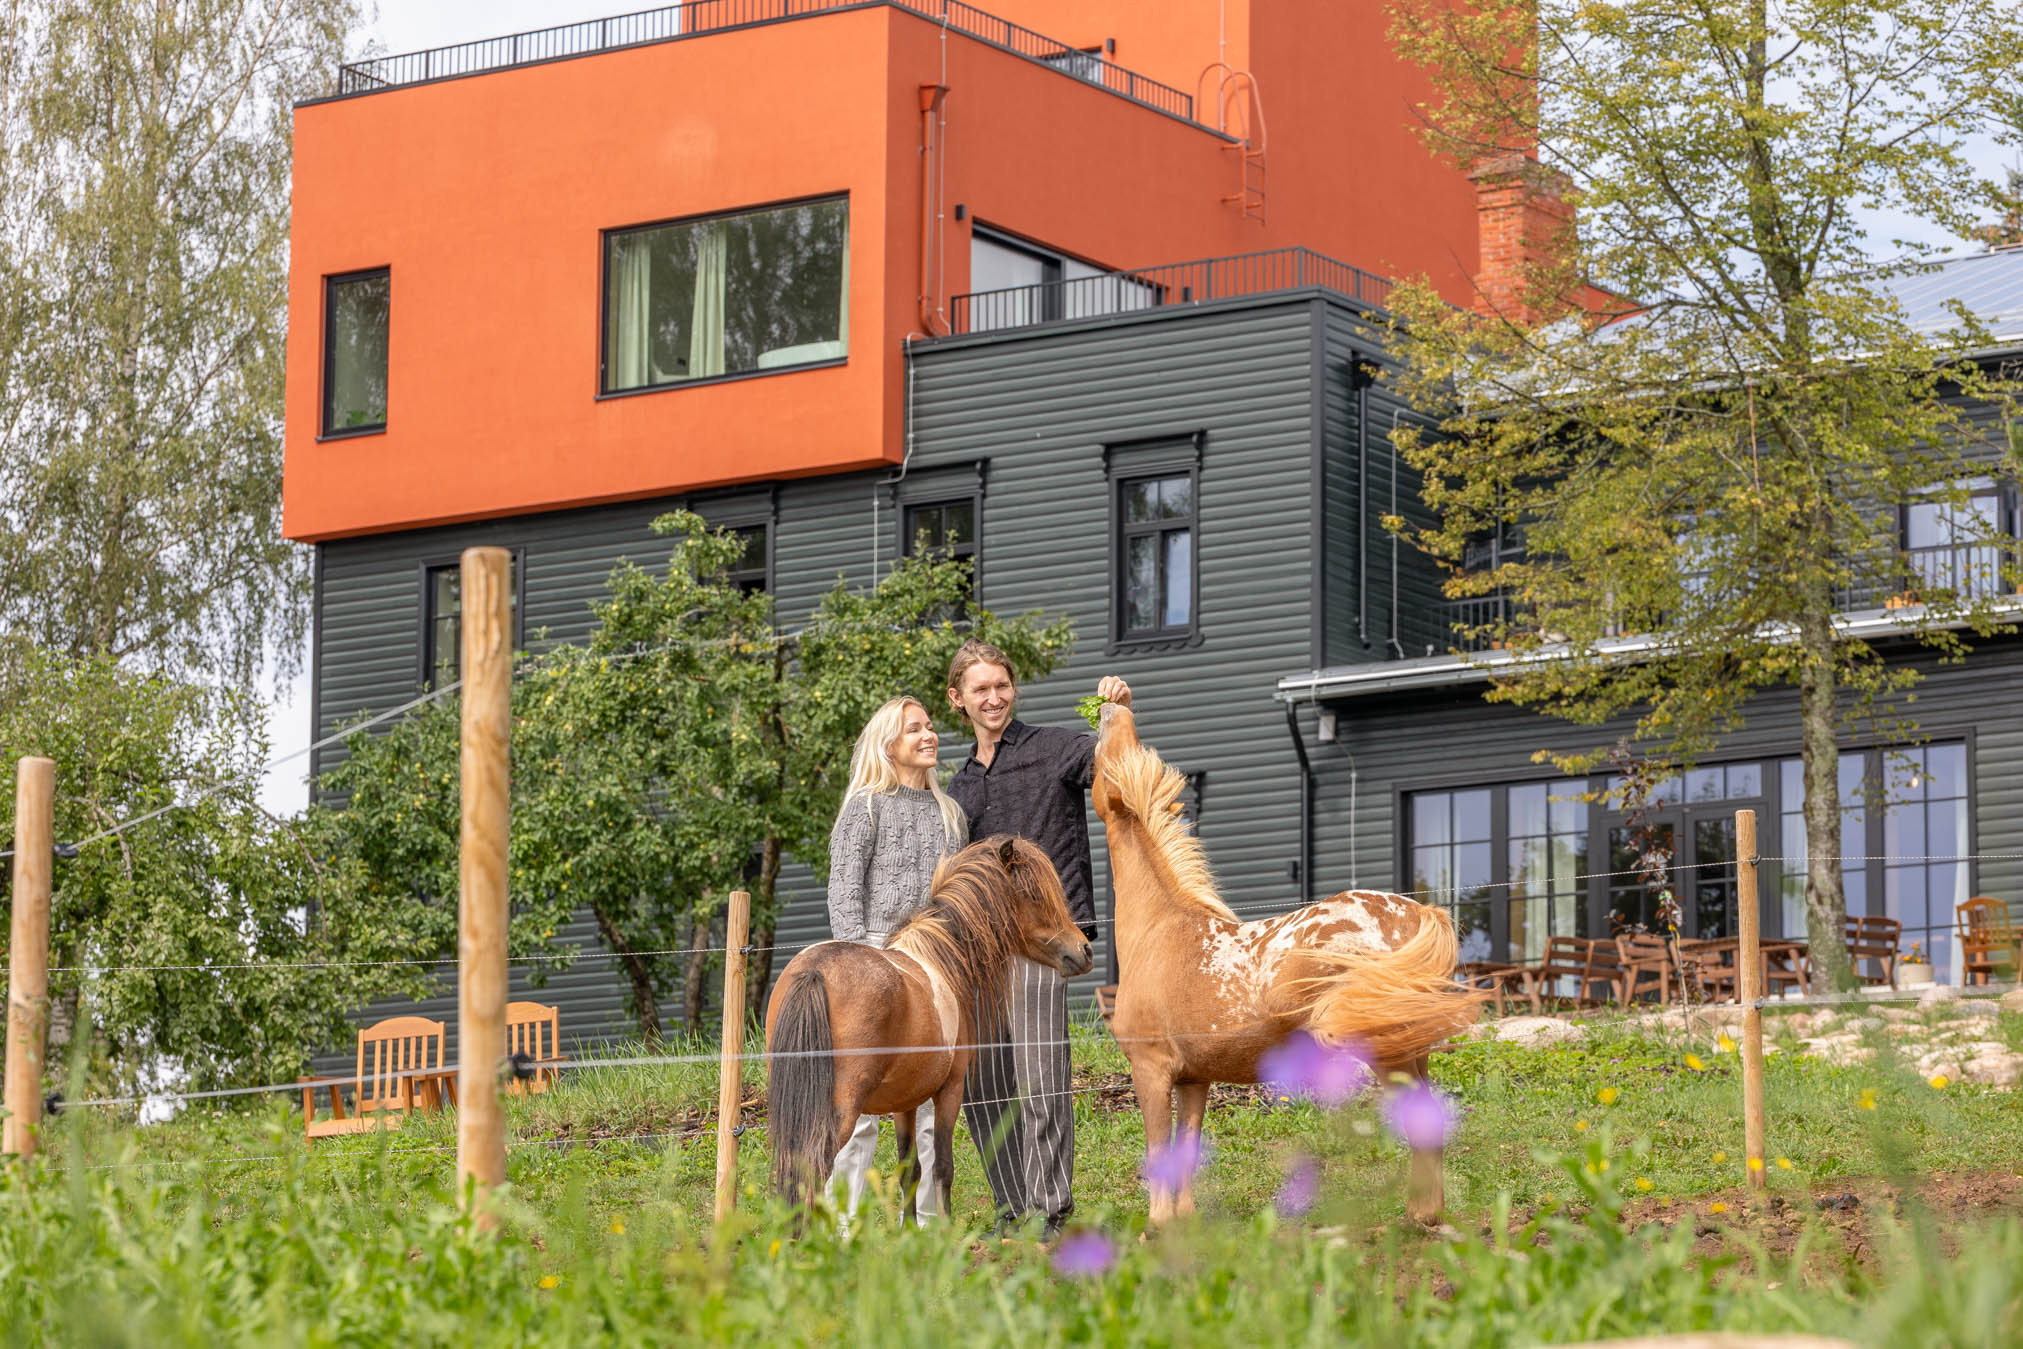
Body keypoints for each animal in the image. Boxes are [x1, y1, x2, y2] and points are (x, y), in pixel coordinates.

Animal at [764, 837, 1100, 1221]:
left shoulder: (904, 1103)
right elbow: (942, 1168)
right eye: (1034, 895)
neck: (941, 956)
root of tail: (814, 970)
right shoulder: (950, 1091)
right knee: (814, 1170)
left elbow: (910, 1170)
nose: (1084, 950)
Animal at [1100, 711, 1480, 1229]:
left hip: (1389, 1054)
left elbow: (1158, 1150)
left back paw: (1418, 1217)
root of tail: (1416, 913)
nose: (1108, 709)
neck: (1160, 930)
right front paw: (1184, 1223)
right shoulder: (1194, 1079)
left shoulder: (1151, 1070)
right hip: (1412, 1048)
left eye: (1102, 757)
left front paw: (1156, 1228)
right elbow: (1186, 1151)